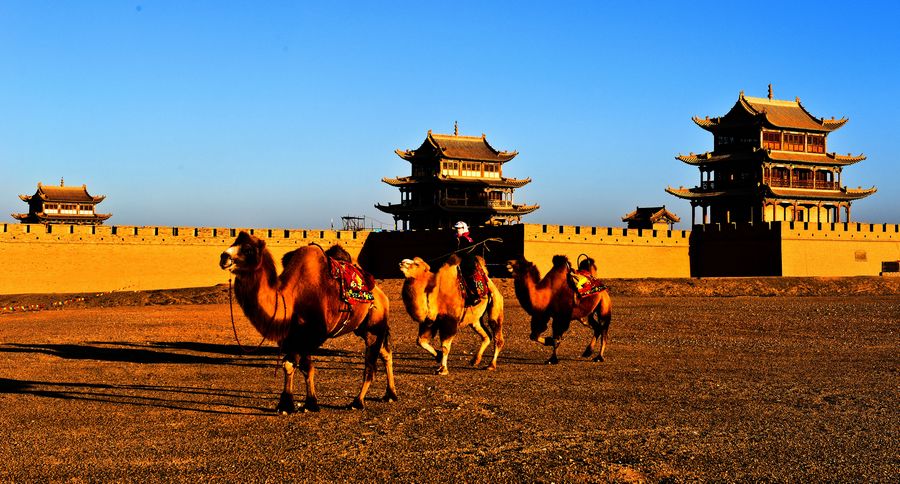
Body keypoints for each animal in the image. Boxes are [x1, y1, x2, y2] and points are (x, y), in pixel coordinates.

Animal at [220, 233, 396, 414]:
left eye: (248, 249)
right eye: (233, 243)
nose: (224, 257)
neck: (290, 298)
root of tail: (381, 295)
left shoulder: (313, 335)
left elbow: (306, 367)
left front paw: (311, 404)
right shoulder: (291, 336)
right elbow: (288, 364)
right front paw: (286, 405)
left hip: (374, 324)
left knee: (370, 364)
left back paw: (357, 402)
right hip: (364, 327)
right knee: (385, 352)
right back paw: (390, 394)